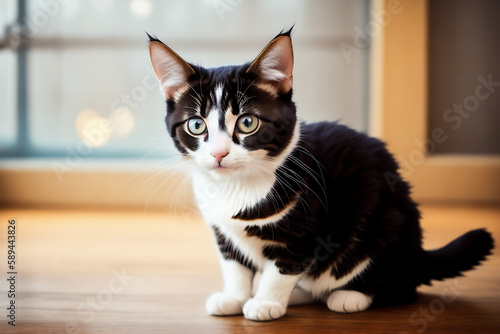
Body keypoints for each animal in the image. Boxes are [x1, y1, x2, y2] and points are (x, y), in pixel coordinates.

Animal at [146, 28, 494, 320]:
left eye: (247, 122)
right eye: (196, 125)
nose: (219, 154)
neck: (238, 187)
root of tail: (418, 256)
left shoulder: (305, 225)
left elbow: (282, 268)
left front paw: (266, 302)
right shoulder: (223, 232)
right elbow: (235, 266)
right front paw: (234, 297)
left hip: (387, 224)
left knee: (398, 284)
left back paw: (350, 295)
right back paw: (300, 293)